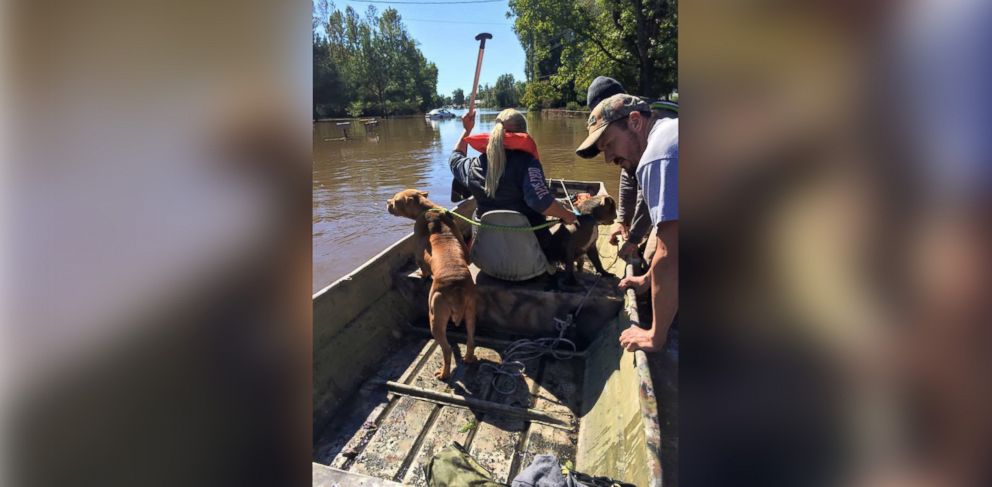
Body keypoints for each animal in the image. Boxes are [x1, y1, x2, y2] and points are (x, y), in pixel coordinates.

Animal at [386, 189, 478, 380]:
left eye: (396, 201)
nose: (387, 202)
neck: (427, 208)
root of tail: (456, 288)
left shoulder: (418, 254)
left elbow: (422, 267)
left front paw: (422, 275)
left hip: (434, 316)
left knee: (447, 349)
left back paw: (444, 374)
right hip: (471, 311)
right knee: (471, 339)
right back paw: (468, 358)